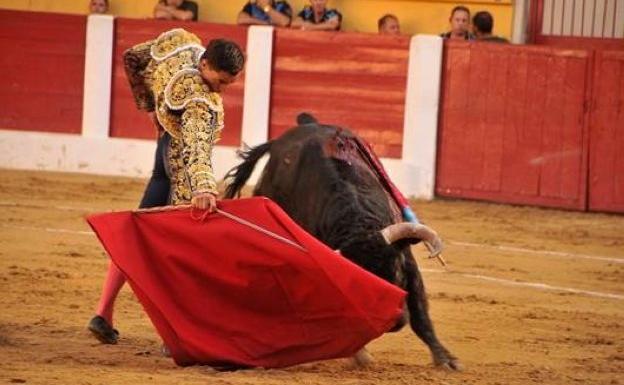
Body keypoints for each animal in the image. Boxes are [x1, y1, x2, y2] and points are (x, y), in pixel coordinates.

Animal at [224, 113, 458, 368]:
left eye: (395, 269)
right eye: (362, 285)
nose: (395, 322)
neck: (358, 220)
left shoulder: (407, 259)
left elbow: (420, 314)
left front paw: (445, 360)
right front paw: (360, 353)